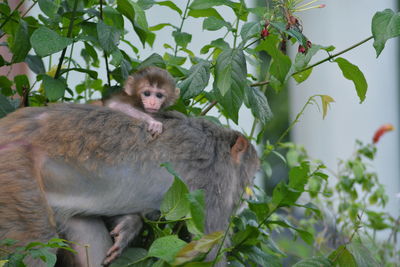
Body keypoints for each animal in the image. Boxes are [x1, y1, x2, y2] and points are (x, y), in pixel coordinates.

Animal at [0, 103, 260, 266]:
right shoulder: (214, 182)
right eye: (251, 176)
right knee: (37, 241)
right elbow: (208, 248)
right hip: (14, 168)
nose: (249, 197)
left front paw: (128, 226)